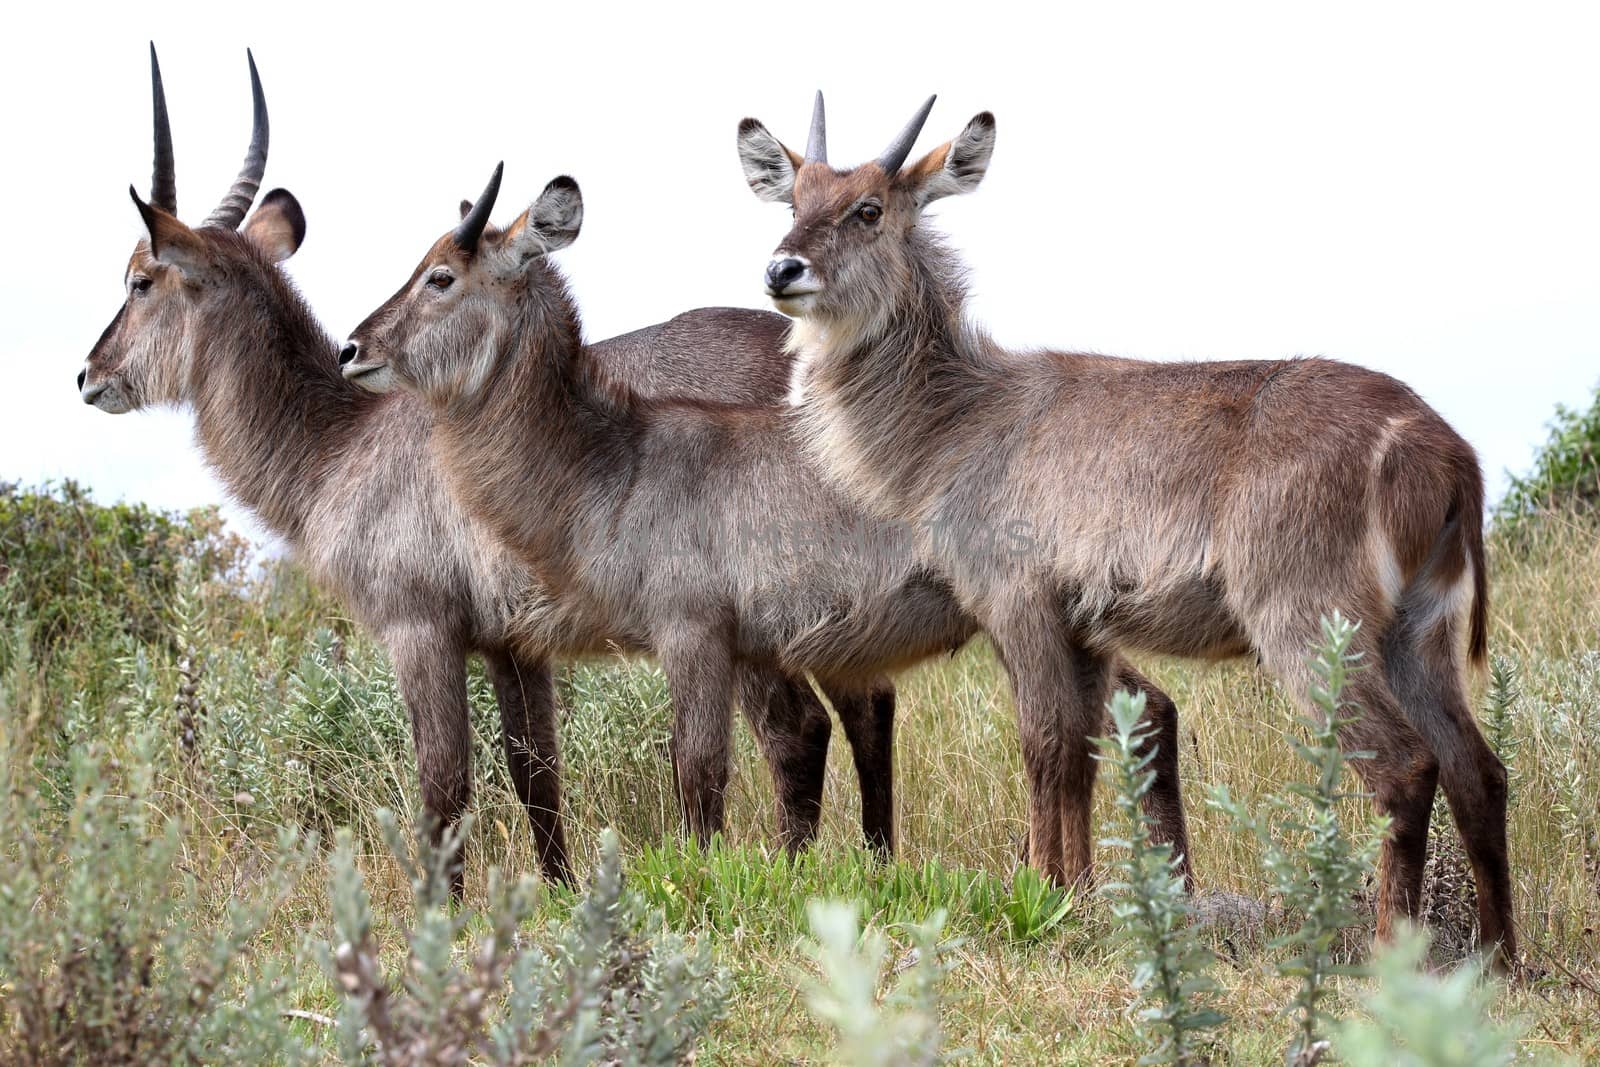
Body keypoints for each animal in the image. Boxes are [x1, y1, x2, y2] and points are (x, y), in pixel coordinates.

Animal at [78, 45, 915, 889]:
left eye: (138, 280)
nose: (88, 374)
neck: (337, 445)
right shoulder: (513, 641)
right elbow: (534, 769)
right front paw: (561, 892)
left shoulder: (420, 624)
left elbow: (444, 783)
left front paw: (440, 913)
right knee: (863, 704)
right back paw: (875, 862)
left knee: (798, 727)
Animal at [340, 164, 1203, 883]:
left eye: (440, 276)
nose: (354, 346)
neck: (611, 458)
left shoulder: (691, 629)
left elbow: (696, 772)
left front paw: (700, 885)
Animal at [736, 95, 1510, 966]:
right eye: (795, 202)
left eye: (868, 209)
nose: (781, 270)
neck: (955, 419)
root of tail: (1446, 448)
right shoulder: (1080, 621)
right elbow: (1080, 752)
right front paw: (1079, 895)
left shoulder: (1018, 600)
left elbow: (1043, 745)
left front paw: (1045, 895)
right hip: (1423, 625)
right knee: (1479, 770)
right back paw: (1502, 957)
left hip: (1309, 620)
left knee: (1405, 766)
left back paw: (1390, 953)